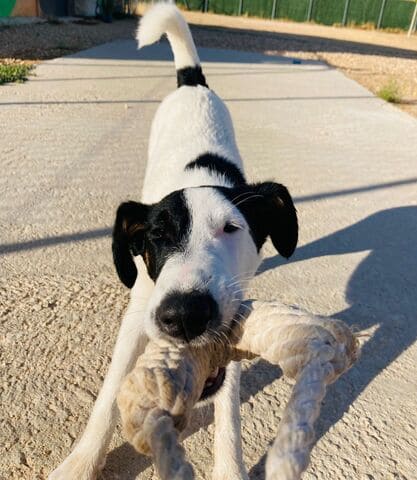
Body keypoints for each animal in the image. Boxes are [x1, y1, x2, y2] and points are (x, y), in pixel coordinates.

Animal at [49, 2, 296, 476]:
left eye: (232, 228)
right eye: (157, 236)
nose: (184, 316)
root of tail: (192, 82)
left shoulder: (235, 315)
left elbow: (228, 412)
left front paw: (230, 469)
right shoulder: (138, 311)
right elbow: (108, 393)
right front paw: (82, 462)